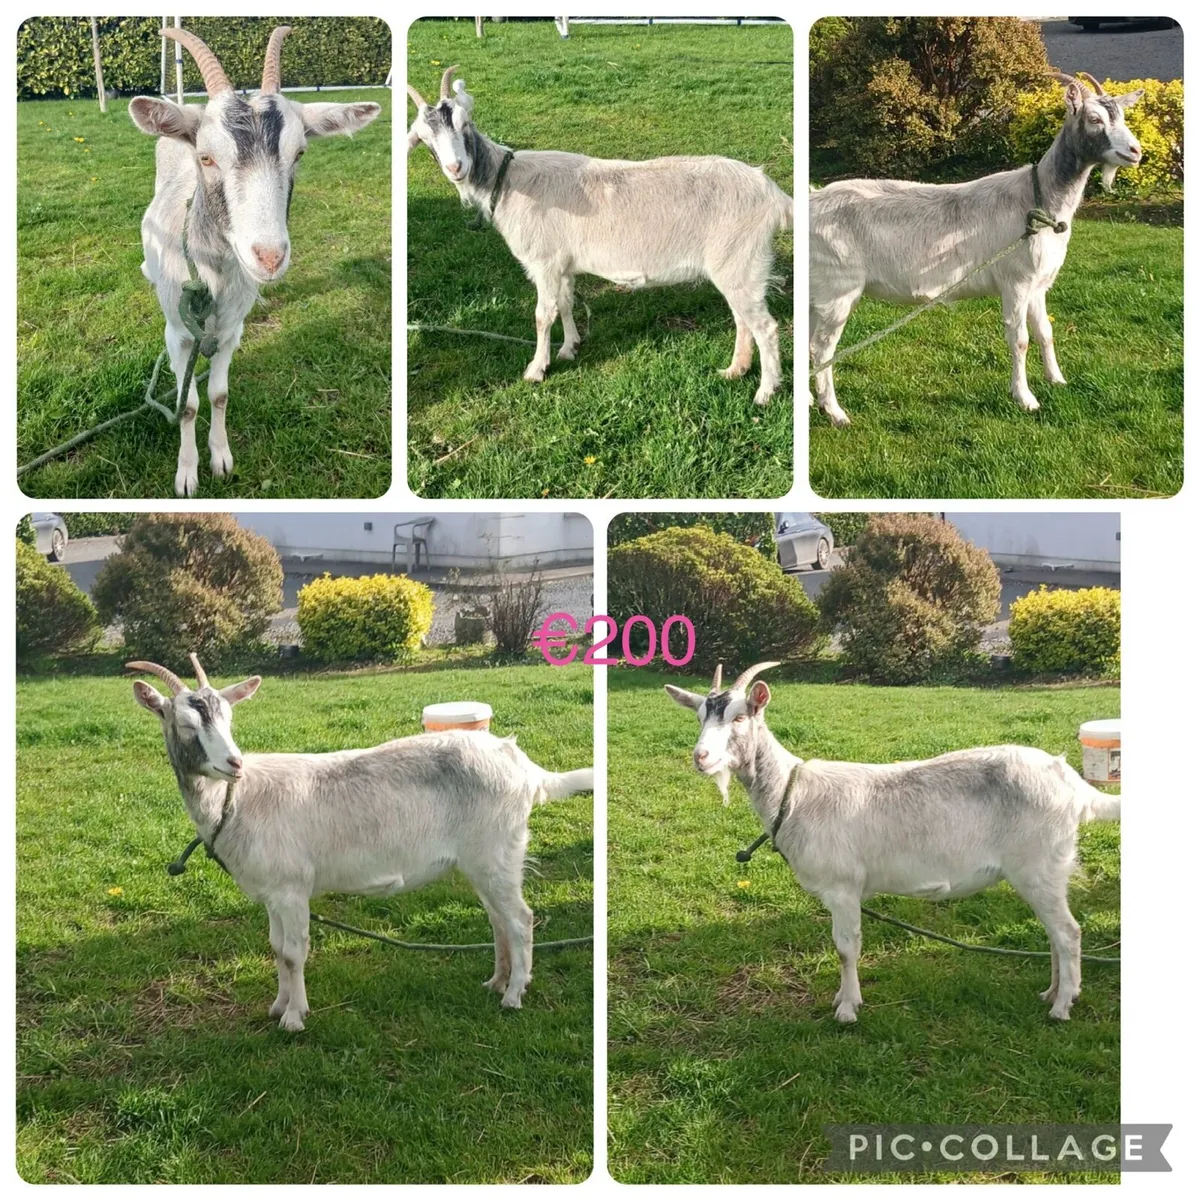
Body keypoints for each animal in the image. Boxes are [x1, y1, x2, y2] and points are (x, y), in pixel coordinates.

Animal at [128, 656, 594, 1030]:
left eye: (229, 720)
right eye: (186, 725)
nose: (234, 763)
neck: (237, 800)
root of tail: (521, 765)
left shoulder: (292, 889)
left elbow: (294, 953)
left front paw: (295, 1018)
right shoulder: (272, 892)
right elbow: (276, 949)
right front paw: (278, 1005)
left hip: (496, 853)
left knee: (520, 918)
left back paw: (514, 994)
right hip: (482, 861)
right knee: (499, 918)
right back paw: (496, 981)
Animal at [129, 27, 380, 496]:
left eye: (299, 153)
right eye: (206, 157)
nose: (269, 256)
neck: (210, 277)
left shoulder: (231, 332)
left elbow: (218, 395)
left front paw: (221, 458)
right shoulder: (178, 334)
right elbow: (187, 404)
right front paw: (187, 474)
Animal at [407, 67, 793, 404]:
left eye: (464, 124)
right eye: (424, 139)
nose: (456, 168)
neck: (507, 182)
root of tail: (774, 196)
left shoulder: (544, 262)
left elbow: (542, 314)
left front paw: (536, 369)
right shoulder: (562, 264)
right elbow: (565, 303)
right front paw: (569, 348)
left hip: (741, 260)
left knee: (765, 326)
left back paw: (765, 392)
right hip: (733, 266)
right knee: (742, 318)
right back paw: (735, 370)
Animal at [666, 663, 1120, 1022]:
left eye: (740, 717)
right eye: (700, 716)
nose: (701, 757)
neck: (792, 795)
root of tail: (1071, 781)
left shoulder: (843, 887)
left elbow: (846, 948)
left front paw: (847, 1009)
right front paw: (842, 998)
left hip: (1038, 866)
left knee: (1068, 932)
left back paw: (1061, 1006)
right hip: (1042, 874)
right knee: (1054, 933)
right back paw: (1052, 991)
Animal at [809, 71, 1143, 426]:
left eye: (1122, 116)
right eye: (1094, 118)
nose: (1136, 151)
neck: (1038, 198)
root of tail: (812, 200)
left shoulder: (1038, 284)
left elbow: (1046, 332)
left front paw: (1057, 379)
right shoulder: (1016, 282)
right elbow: (1020, 340)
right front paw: (1025, 398)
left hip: (819, 289)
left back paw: (809, 399)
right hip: (838, 288)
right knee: (822, 349)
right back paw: (835, 412)